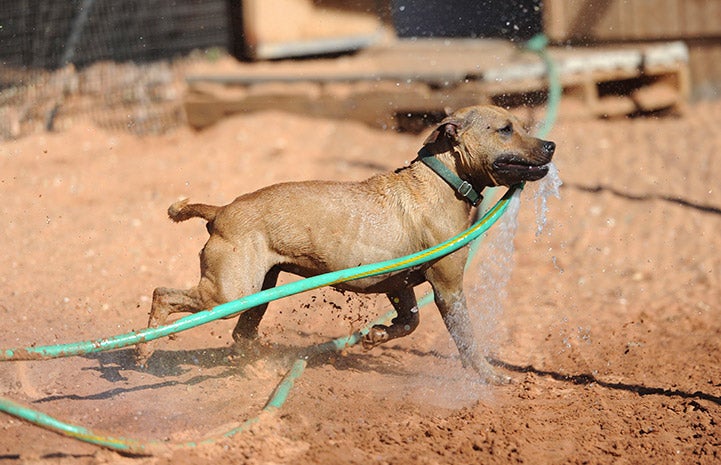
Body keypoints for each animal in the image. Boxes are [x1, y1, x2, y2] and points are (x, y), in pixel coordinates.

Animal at [136, 106, 552, 384]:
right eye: (505, 129)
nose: (550, 144)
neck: (442, 181)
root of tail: (221, 210)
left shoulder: (400, 285)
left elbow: (411, 322)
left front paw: (376, 335)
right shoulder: (448, 287)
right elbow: (466, 340)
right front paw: (489, 377)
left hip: (258, 290)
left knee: (241, 334)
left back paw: (255, 369)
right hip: (229, 292)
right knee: (162, 294)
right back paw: (146, 346)